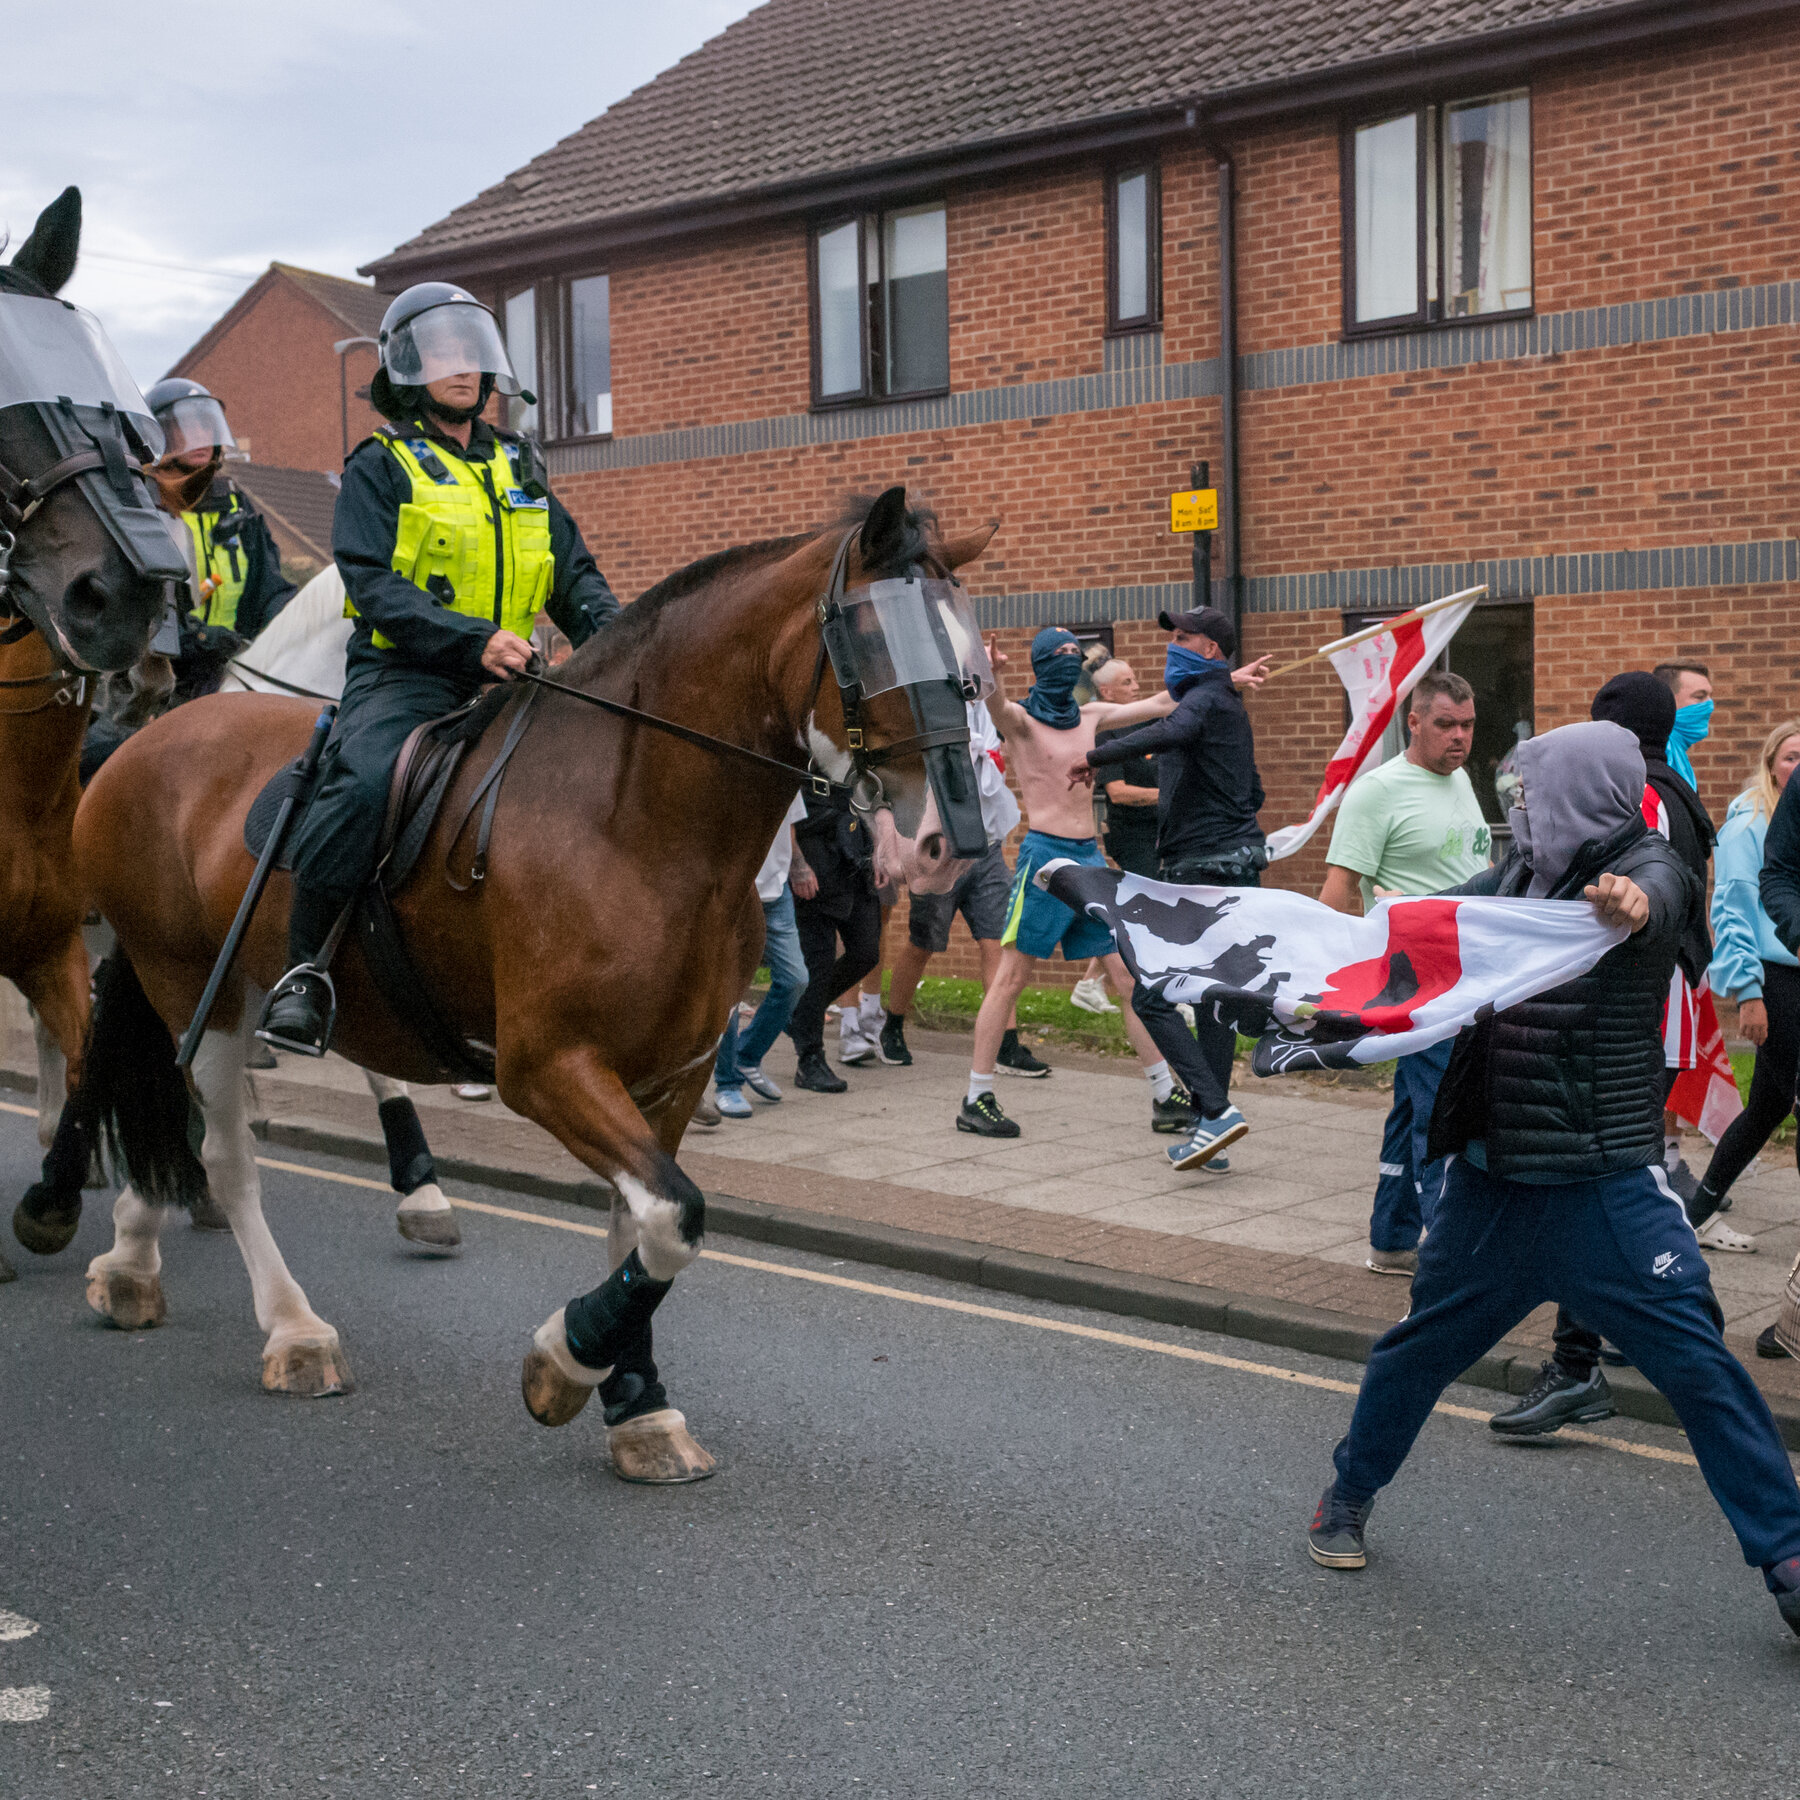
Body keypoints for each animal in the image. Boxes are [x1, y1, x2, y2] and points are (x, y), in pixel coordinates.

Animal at [63, 489, 993, 1476]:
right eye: (872, 638)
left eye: (968, 652)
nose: (950, 841)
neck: (637, 825)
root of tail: (147, 740)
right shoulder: (547, 1066)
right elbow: (675, 1218)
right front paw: (568, 1358)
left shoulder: (673, 1075)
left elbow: (640, 1225)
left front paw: (638, 1406)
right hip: (194, 987)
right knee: (228, 1155)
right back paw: (293, 1330)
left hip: (206, 989)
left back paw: (130, 1260)